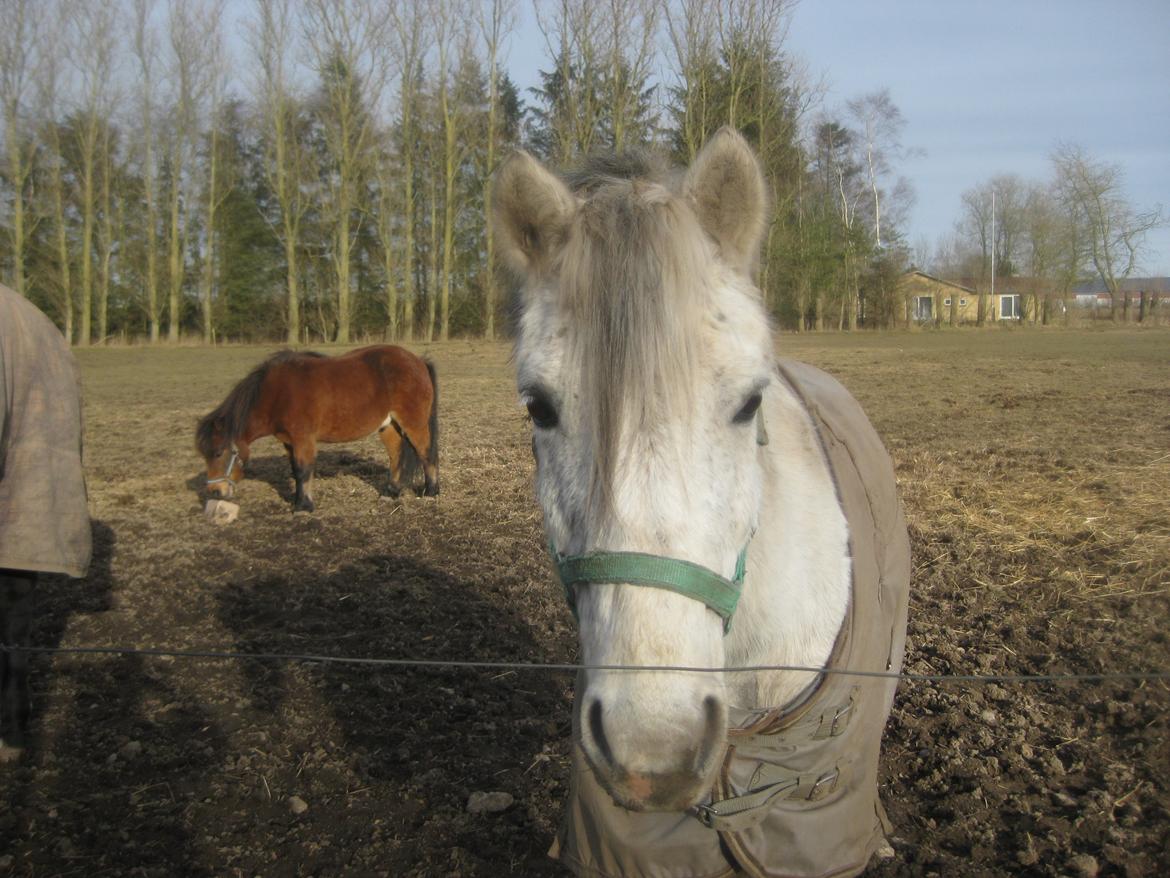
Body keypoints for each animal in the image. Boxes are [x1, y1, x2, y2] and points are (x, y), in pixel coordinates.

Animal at [196, 346, 439, 512]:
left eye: (218, 453)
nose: (215, 492)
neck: (277, 394)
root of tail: (418, 361)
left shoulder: (303, 439)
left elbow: (303, 470)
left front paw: (303, 507)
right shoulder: (289, 441)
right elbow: (295, 471)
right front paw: (298, 502)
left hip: (414, 423)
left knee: (426, 453)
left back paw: (431, 492)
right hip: (388, 426)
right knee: (396, 455)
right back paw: (391, 492)